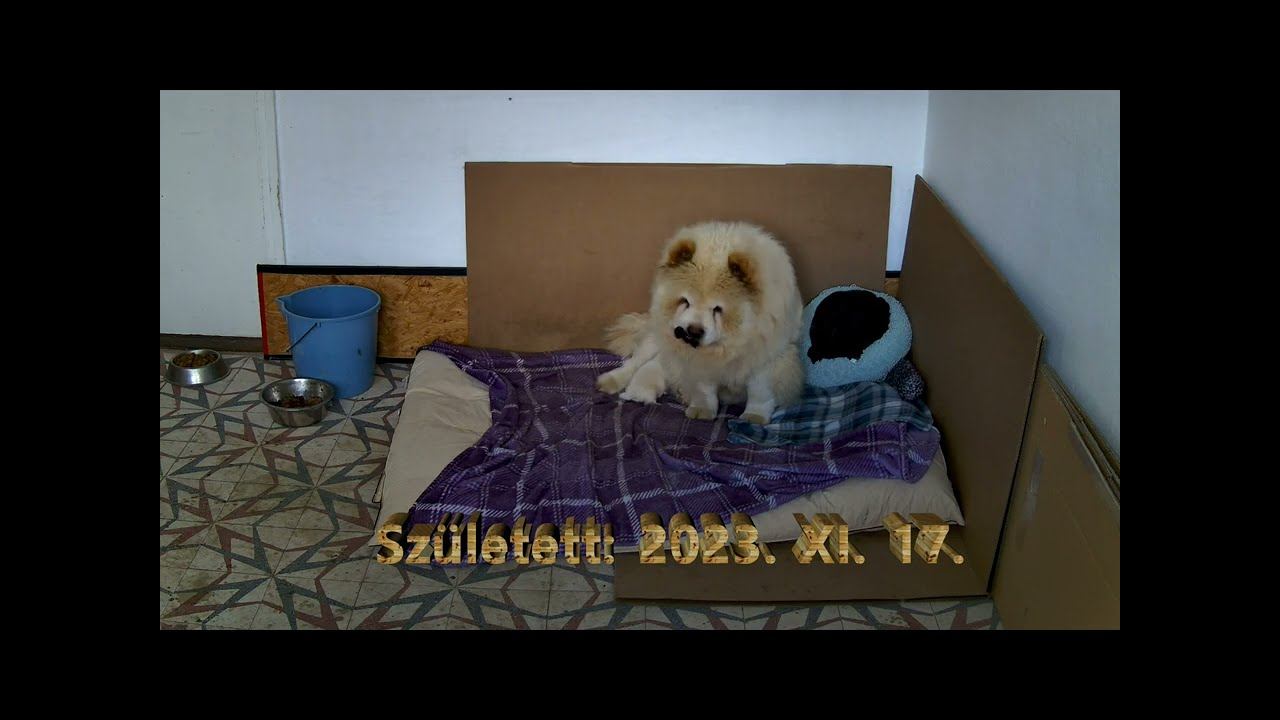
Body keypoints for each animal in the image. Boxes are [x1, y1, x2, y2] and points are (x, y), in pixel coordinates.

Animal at [595, 221, 805, 424]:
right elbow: (704, 389)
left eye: (717, 309)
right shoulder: (700, 363)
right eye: (685, 301)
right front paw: (702, 411)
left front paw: (754, 417)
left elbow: (760, 393)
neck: (728, 348)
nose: (693, 331)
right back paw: (610, 381)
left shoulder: (767, 360)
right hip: (655, 342)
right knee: (634, 363)